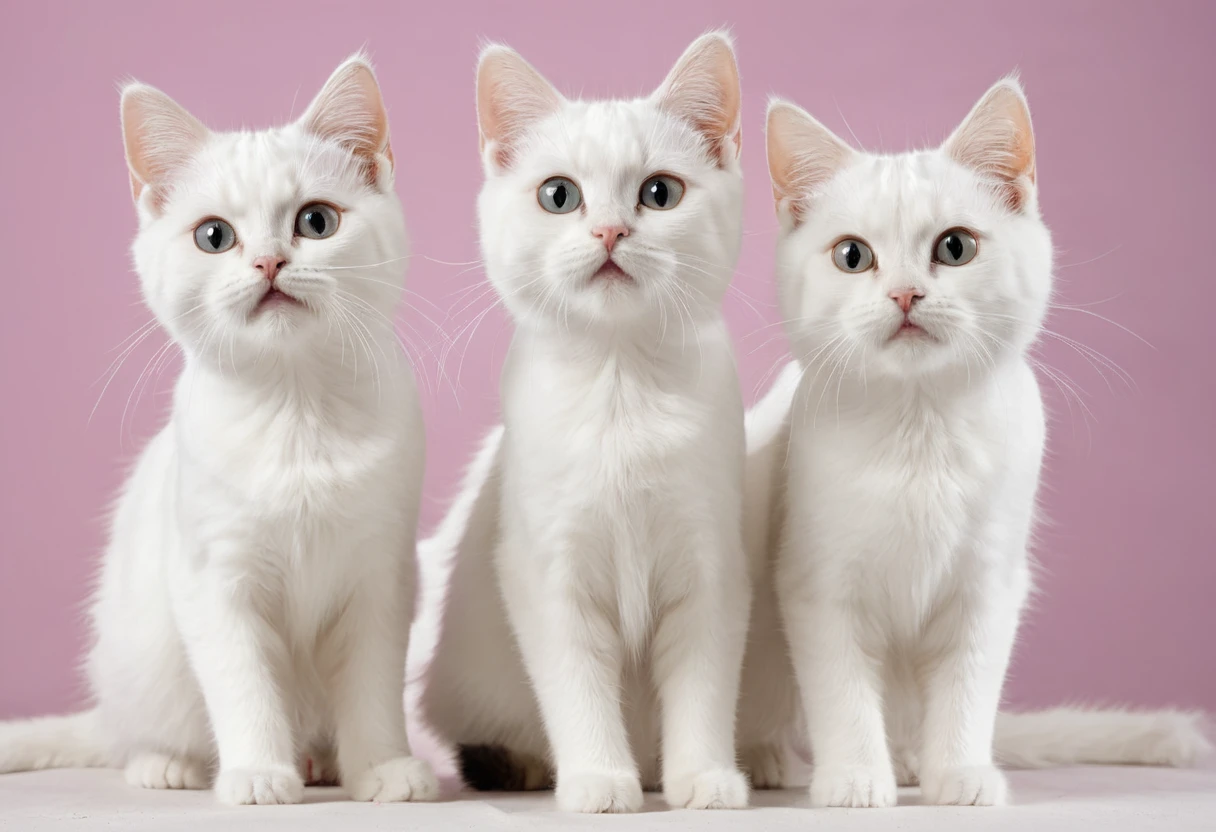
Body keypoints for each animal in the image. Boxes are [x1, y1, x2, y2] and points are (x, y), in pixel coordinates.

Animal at [0, 53, 437, 807]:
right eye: (214, 236)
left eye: (316, 221)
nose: (268, 261)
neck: (297, 412)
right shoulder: (215, 578)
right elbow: (244, 685)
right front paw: (259, 773)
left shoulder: (381, 574)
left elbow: (372, 685)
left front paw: (382, 766)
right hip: (140, 661)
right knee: (137, 735)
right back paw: (168, 764)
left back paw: (320, 761)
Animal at [418, 35, 749, 807]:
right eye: (558, 195)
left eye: (660, 192)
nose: (609, 229)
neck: (619, 387)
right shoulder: (546, 571)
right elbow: (577, 688)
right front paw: (600, 779)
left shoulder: (711, 565)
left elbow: (703, 685)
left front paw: (704, 777)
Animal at [758, 79, 1206, 807]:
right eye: (852, 255)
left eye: (955, 247)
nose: (905, 293)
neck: (919, 429)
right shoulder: (816, 583)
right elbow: (841, 688)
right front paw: (854, 778)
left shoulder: (989, 582)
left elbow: (969, 687)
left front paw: (960, 773)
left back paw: (912, 759)